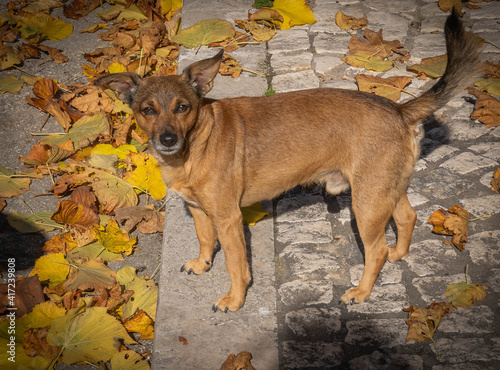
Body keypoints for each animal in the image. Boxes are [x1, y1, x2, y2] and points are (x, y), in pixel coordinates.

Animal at [95, 12, 482, 312]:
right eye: (147, 110)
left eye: (182, 107)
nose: (167, 139)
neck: (195, 144)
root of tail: (398, 108)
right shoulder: (200, 212)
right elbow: (205, 241)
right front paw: (203, 264)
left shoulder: (229, 220)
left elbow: (236, 265)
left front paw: (235, 299)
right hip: (383, 191)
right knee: (406, 218)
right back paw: (399, 254)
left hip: (367, 205)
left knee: (376, 251)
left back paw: (361, 291)